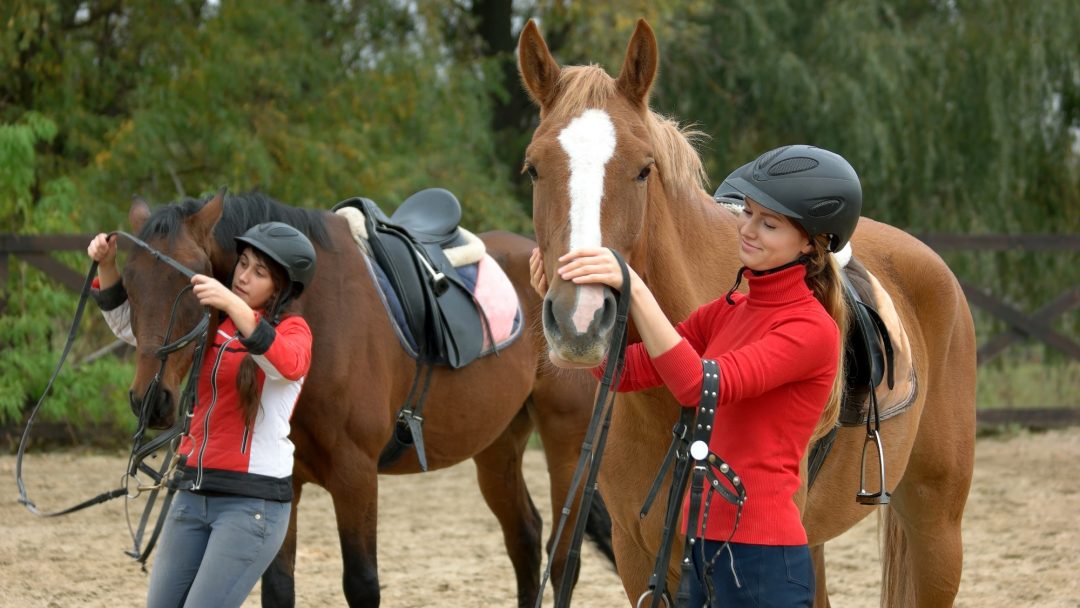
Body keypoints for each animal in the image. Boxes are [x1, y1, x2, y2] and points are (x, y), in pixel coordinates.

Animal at [116, 190, 610, 607]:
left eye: (191, 287)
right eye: (129, 285)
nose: (150, 400)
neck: (312, 314)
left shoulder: (355, 475)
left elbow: (361, 584)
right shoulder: (282, 484)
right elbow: (278, 586)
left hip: (567, 442)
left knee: (562, 560)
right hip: (497, 445)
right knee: (525, 540)